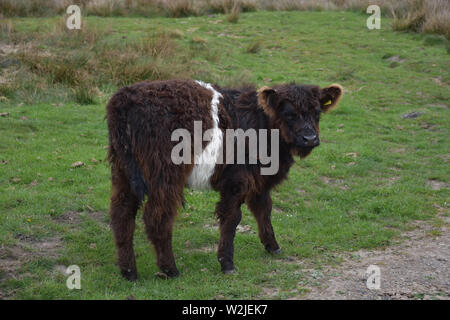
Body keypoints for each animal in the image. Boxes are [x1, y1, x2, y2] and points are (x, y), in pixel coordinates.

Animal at [106, 79, 344, 278]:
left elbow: (264, 209)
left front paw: (273, 246)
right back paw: (170, 269)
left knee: (122, 214)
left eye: (317, 112)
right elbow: (232, 219)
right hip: (164, 175)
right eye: (289, 113)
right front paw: (227, 263)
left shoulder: (258, 181)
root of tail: (124, 97)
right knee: (157, 217)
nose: (310, 138)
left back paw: (129, 271)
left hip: (123, 172)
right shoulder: (236, 181)